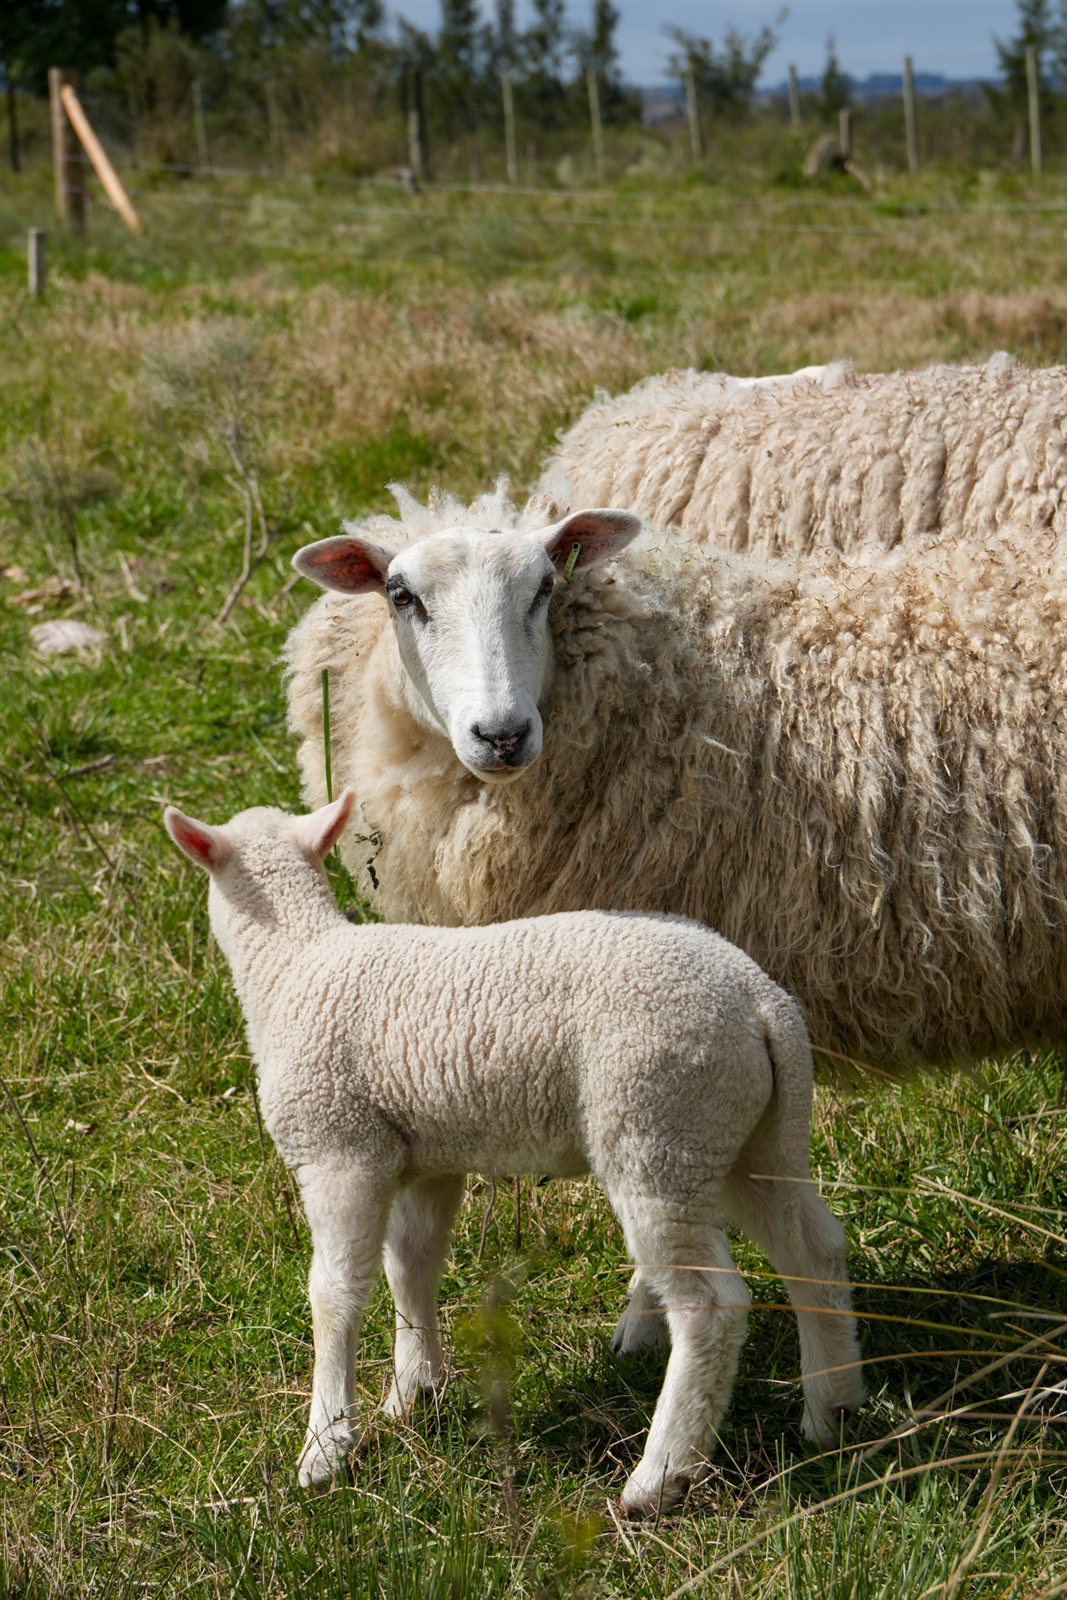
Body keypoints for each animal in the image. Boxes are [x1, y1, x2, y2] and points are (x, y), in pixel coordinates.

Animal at [163, 787, 865, 1515]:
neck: (292, 961)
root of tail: (762, 1000)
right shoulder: (427, 1159)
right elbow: (410, 1266)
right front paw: (413, 1393)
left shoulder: (339, 1150)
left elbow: (334, 1293)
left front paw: (325, 1447)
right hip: (740, 1134)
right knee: (813, 1250)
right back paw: (832, 1410)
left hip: (656, 1125)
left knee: (711, 1307)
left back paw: (658, 1475)